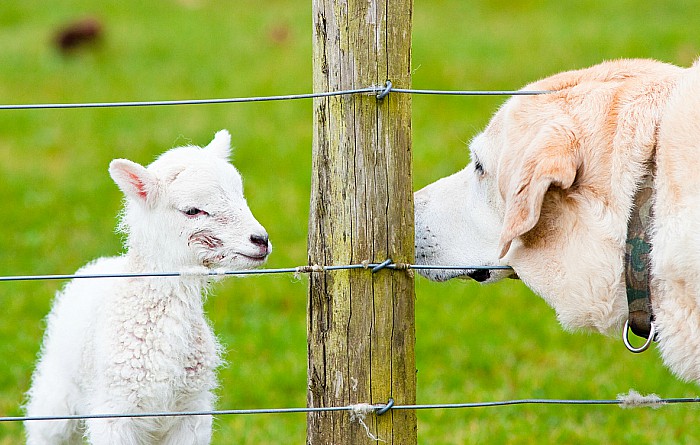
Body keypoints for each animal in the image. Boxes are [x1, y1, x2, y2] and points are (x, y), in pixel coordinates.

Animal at [24, 129, 270, 444]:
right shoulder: (114, 413)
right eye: (193, 210)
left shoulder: (192, 412)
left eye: (241, 196)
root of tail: (103, 262)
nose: (261, 240)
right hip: (56, 394)